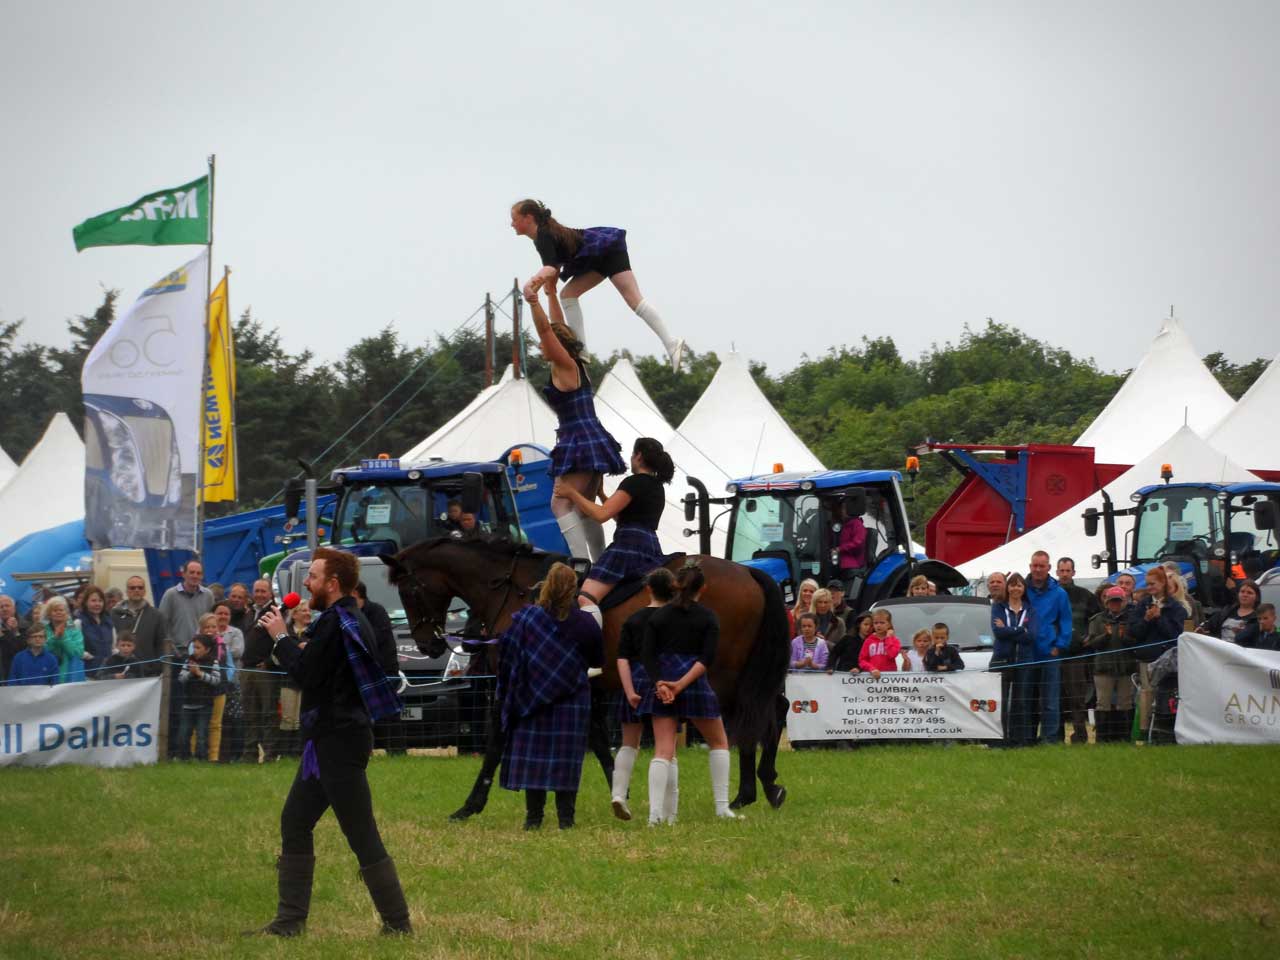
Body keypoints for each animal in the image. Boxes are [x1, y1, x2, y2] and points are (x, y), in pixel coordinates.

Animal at [381, 537, 788, 824]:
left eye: (410, 591)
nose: (427, 644)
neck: (514, 590)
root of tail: (747, 572)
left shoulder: (514, 683)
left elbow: (496, 742)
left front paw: (470, 806)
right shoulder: (583, 688)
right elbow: (599, 741)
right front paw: (621, 794)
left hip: (721, 674)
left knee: (747, 720)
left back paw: (753, 790)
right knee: (770, 711)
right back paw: (763, 788)